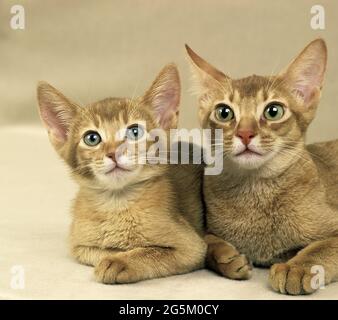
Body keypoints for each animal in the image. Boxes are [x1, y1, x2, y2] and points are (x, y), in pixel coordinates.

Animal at [37, 63, 206, 284]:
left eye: (135, 132)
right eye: (91, 138)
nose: (113, 153)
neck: (117, 204)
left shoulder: (192, 247)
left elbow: (151, 251)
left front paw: (120, 261)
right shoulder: (79, 246)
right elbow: (101, 250)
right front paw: (116, 252)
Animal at [186, 38, 338, 296]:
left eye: (273, 111)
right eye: (224, 113)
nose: (245, 133)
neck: (257, 194)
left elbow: (322, 246)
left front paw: (297, 267)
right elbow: (206, 240)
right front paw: (226, 256)